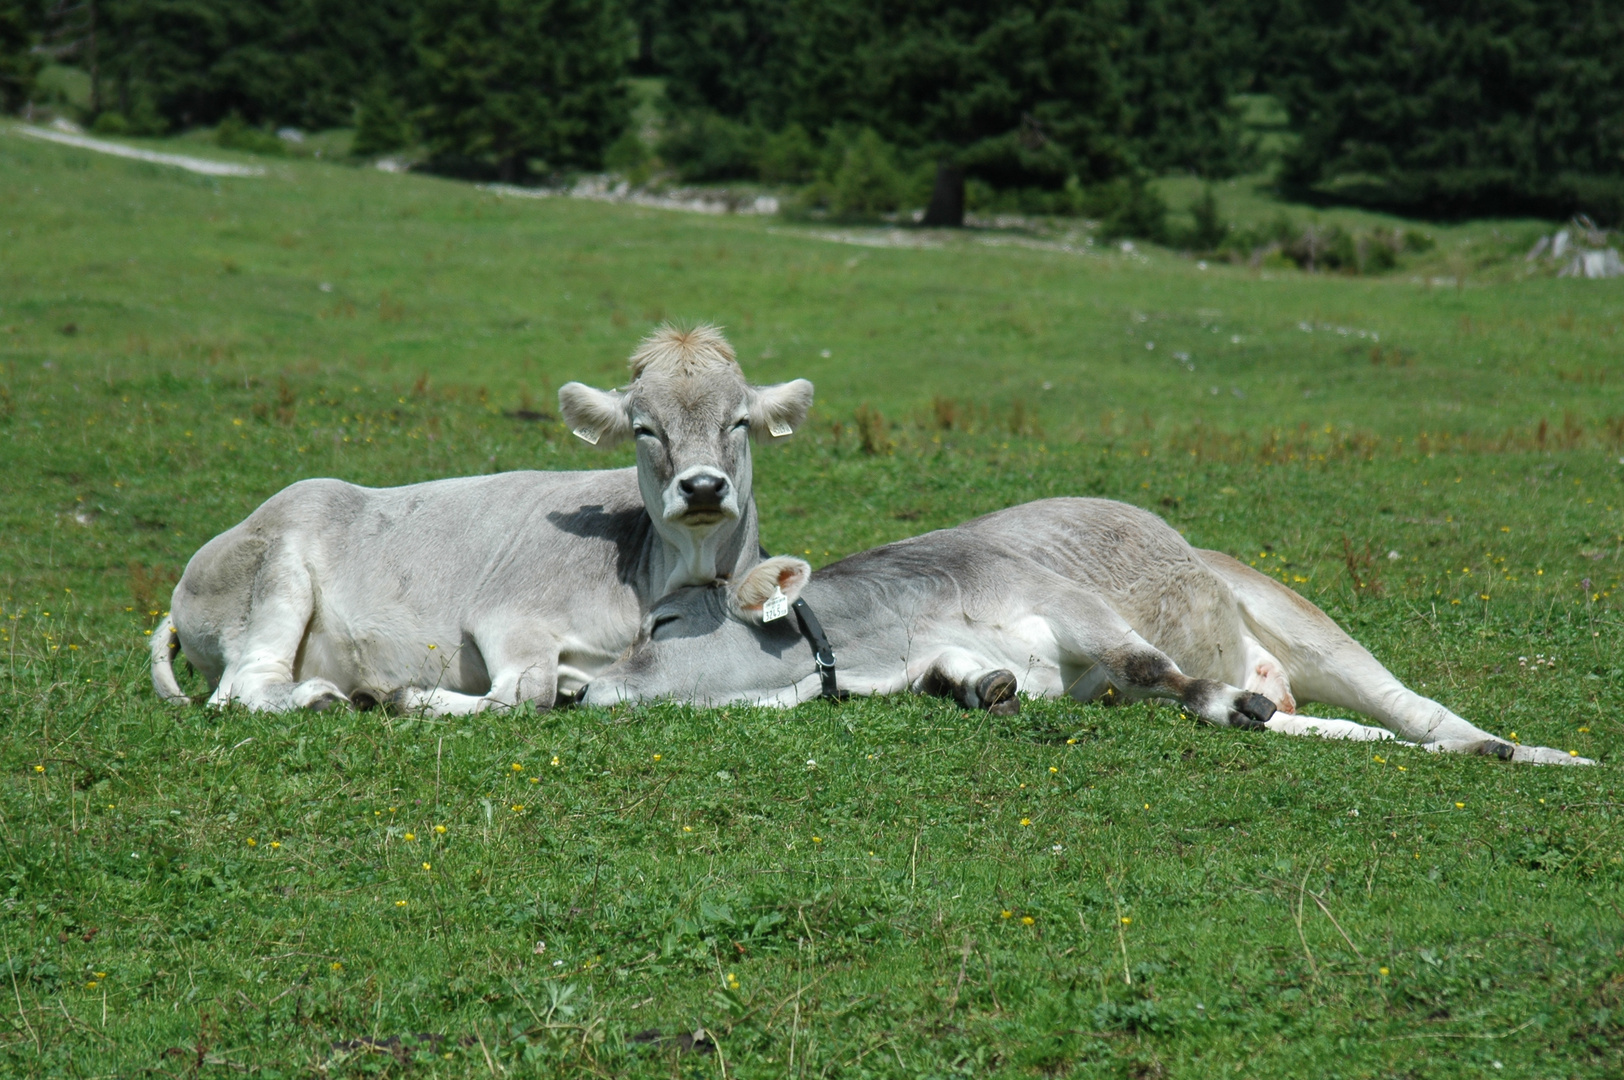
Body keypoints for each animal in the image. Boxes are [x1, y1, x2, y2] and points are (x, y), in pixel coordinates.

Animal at [151, 328, 812, 714]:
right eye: (645, 428)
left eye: (739, 422)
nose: (701, 486)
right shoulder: (507, 616)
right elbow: (524, 694)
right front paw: (409, 696)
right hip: (275, 574)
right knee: (243, 686)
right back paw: (323, 697)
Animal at [581, 500, 1585, 766]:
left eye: (663, 618)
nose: (575, 685)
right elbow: (971, 681)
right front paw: (985, 691)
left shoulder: (1068, 603)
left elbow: (1146, 663)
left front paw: (1214, 700)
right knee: (1336, 725)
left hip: (1301, 618)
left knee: (1414, 708)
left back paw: (1514, 750)